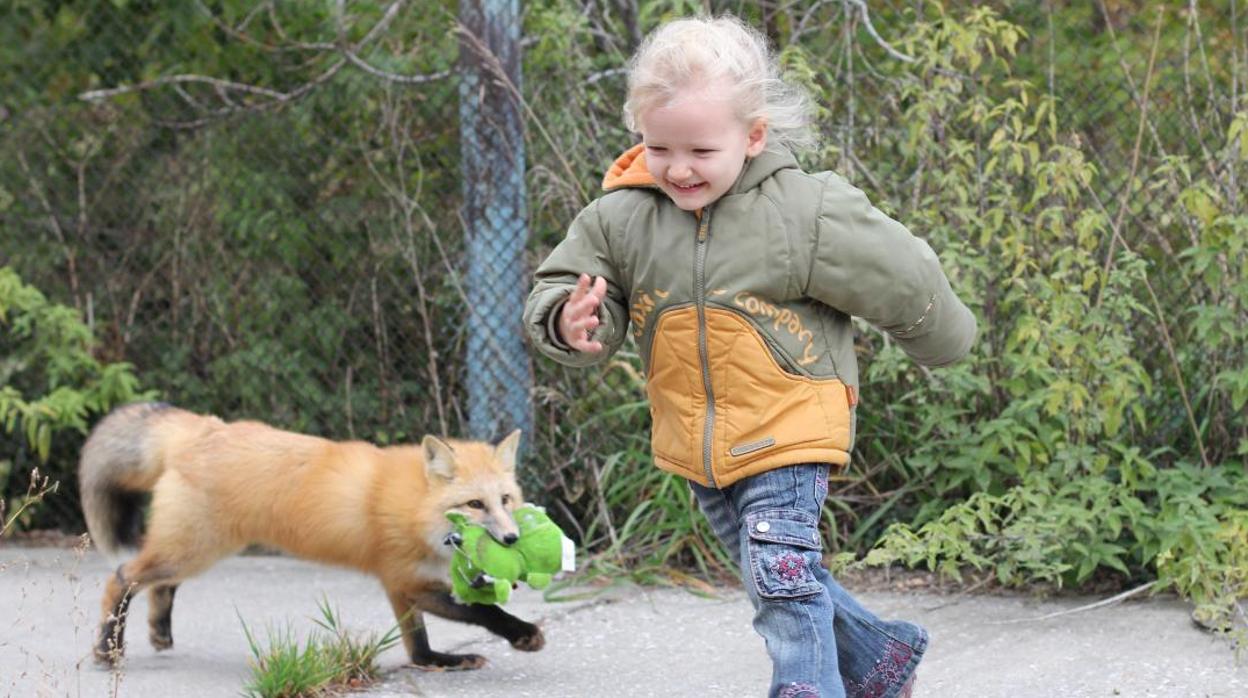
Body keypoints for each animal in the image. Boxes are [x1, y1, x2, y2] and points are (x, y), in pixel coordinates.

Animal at [78, 404, 544, 674]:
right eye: (474, 505)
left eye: (505, 499)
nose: (510, 538)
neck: (417, 510)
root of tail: (205, 428)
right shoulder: (406, 579)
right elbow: (483, 611)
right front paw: (522, 633)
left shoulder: (400, 584)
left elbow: (418, 646)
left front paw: (442, 662)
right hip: (192, 548)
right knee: (122, 578)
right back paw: (107, 649)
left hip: (197, 549)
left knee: (159, 584)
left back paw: (158, 631)